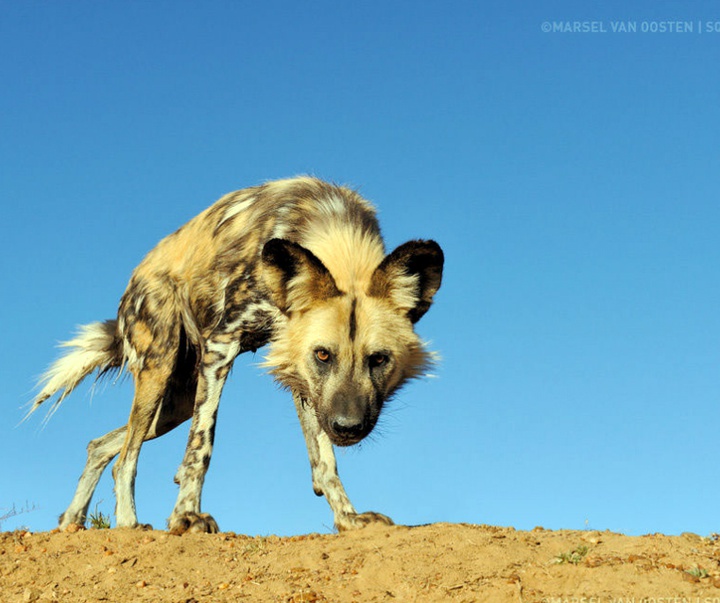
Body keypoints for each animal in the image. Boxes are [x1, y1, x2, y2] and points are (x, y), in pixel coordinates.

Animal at [28, 177, 442, 536]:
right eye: (324, 355)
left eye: (379, 359)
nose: (348, 426)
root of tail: (133, 281)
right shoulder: (222, 345)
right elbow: (201, 448)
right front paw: (186, 516)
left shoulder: (302, 378)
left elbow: (324, 461)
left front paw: (348, 519)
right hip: (160, 370)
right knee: (126, 458)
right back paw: (129, 523)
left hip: (176, 403)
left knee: (102, 444)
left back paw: (72, 521)